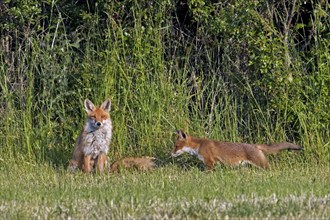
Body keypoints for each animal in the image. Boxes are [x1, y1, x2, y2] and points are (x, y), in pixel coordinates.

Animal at [171, 131, 302, 170]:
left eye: (176, 146)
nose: (171, 154)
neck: (199, 145)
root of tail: (255, 145)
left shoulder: (210, 162)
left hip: (262, 165)